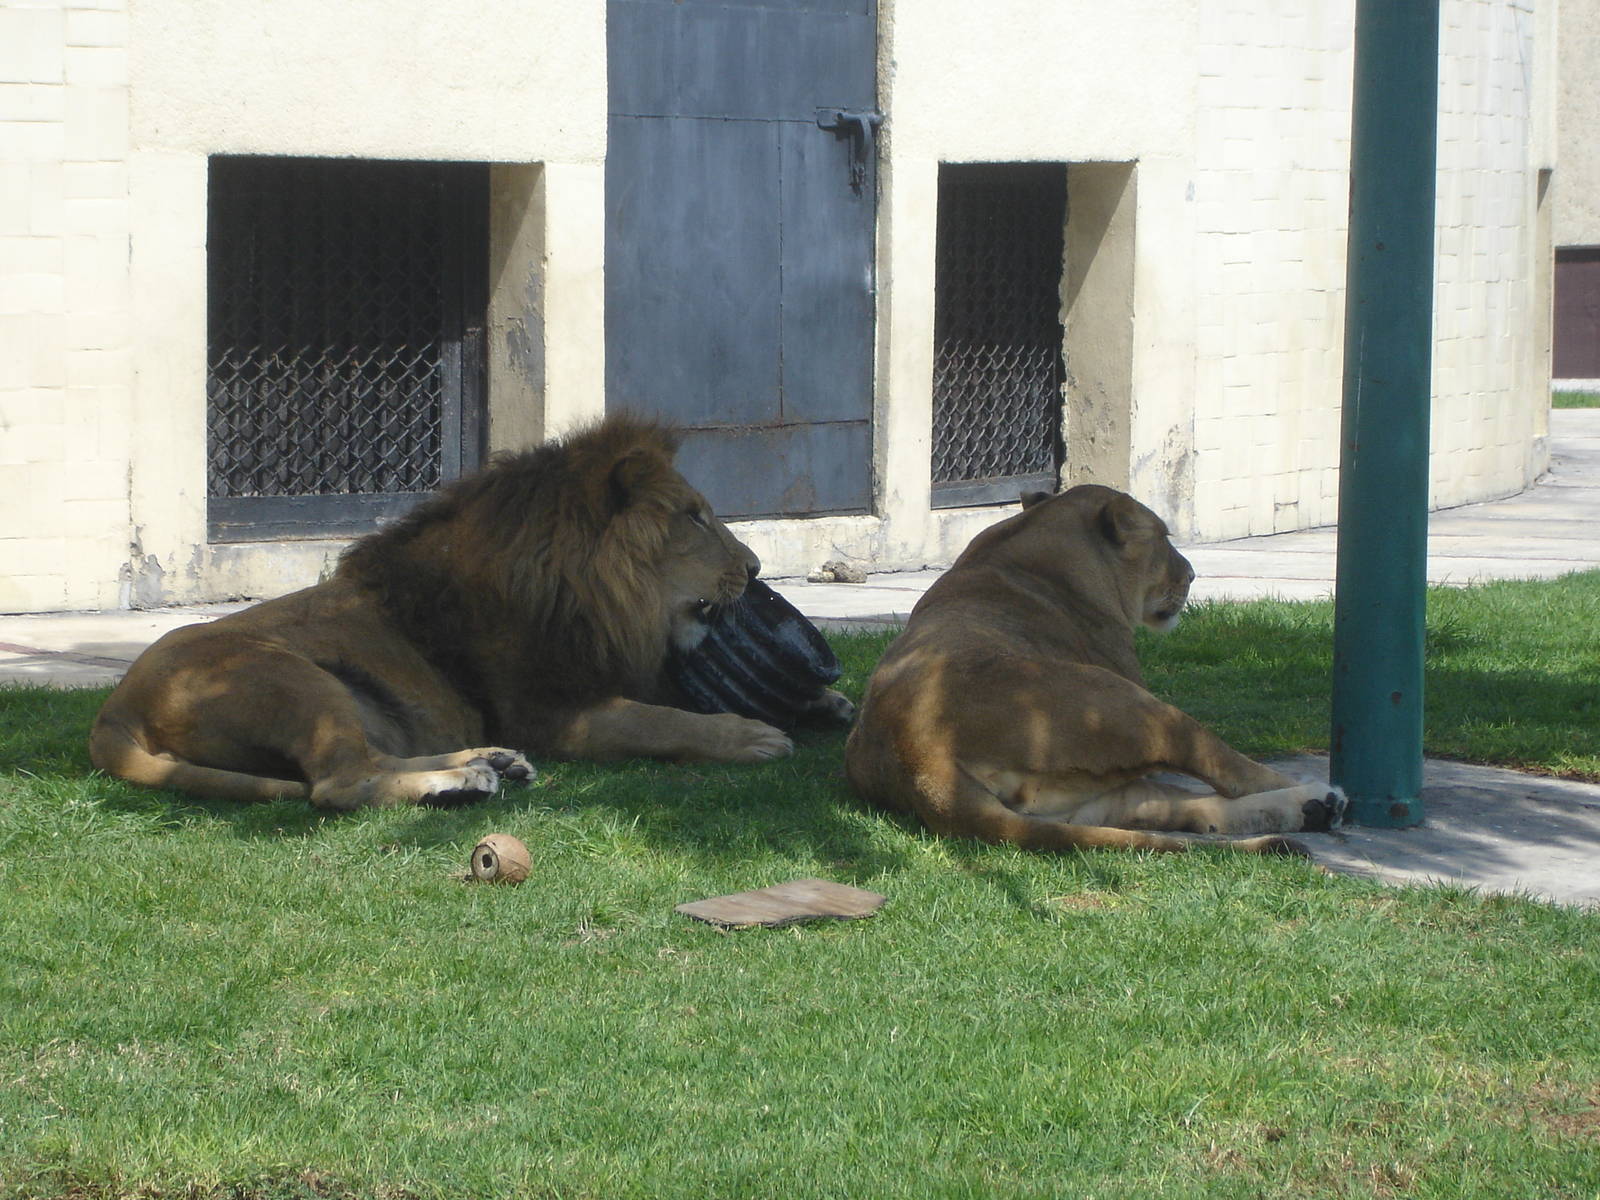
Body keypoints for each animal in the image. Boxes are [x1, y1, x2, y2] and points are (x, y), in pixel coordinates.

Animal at [89, 416, 808, 809]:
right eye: (693, 516)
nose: (754, 568)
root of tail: (113, 711)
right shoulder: (551, 712)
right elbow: (655, 720)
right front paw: (749, 736)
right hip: (290, 677)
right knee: (340, 782)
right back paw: (463, 781)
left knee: (366, 761)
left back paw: (488, 762)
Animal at [844, 484, 1345, 855]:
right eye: (1164, 538)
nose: (1192, 574)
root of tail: (920, 756)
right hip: (1133, 706)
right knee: (1227, 771)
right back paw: (1323, 796)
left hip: (1085, 801)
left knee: (1187, 811)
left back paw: (1312, 809)